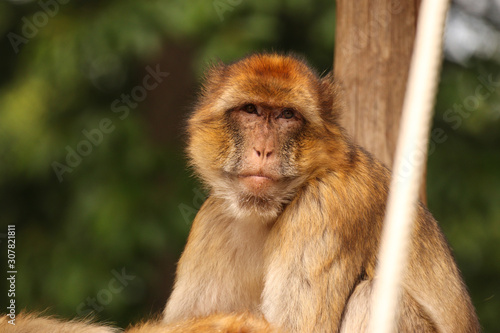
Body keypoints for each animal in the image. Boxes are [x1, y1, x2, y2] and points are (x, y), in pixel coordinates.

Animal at [161, 53, 480, 330]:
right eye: (250, 110)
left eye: (287, 115)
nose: (263, 150)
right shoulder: (214, 220)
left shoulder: (324, 206)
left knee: (369, 296)